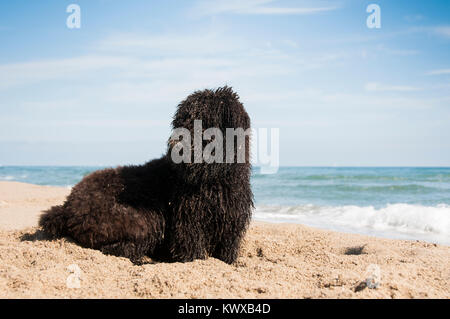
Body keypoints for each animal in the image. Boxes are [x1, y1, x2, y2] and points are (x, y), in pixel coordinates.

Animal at [38, 87, 253, 264]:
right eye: (181, 121)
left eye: (203, 122)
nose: (175, 143)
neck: (214, 180)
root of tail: (66, 207)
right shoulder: (189, 227)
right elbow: (193, 252)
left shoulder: (231, 225)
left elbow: (226, 252)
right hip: (142, 218)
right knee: (118, 249)